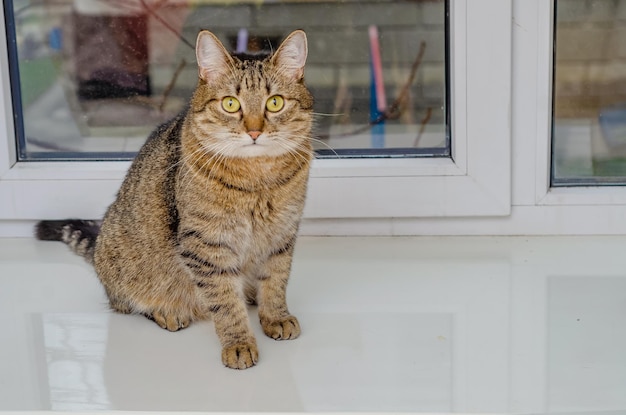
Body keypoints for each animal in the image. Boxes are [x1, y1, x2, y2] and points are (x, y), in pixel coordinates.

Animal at [35, 30, 312, 370]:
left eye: (274, 103)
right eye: (230, 104)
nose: (254, 132)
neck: (257, 178)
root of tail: (99, 243)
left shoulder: (282, 234)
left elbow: (276, 280)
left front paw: (275, 316)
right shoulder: (206, 244)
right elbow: (225, 301)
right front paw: (238, 342)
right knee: (126, 303)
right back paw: (167, 311)